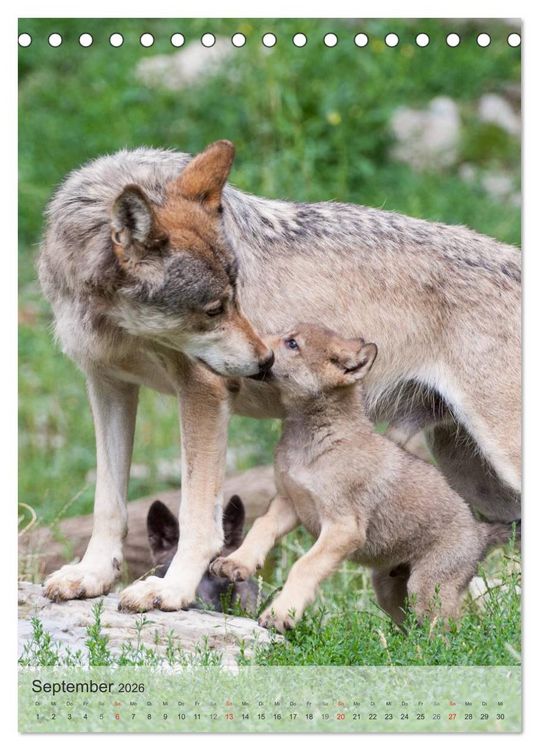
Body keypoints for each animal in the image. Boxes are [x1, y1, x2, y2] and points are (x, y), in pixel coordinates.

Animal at [210, 323, 517, 632]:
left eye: (292, 343)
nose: (253, 345)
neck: (316, 441)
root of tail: (481, 532)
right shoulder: (288, 502)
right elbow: (261, 528)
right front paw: (236, 563)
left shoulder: (342, 527)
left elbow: (304, 565)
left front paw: (280, 614)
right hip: (388, 590)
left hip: (427, 591)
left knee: (451, 631)